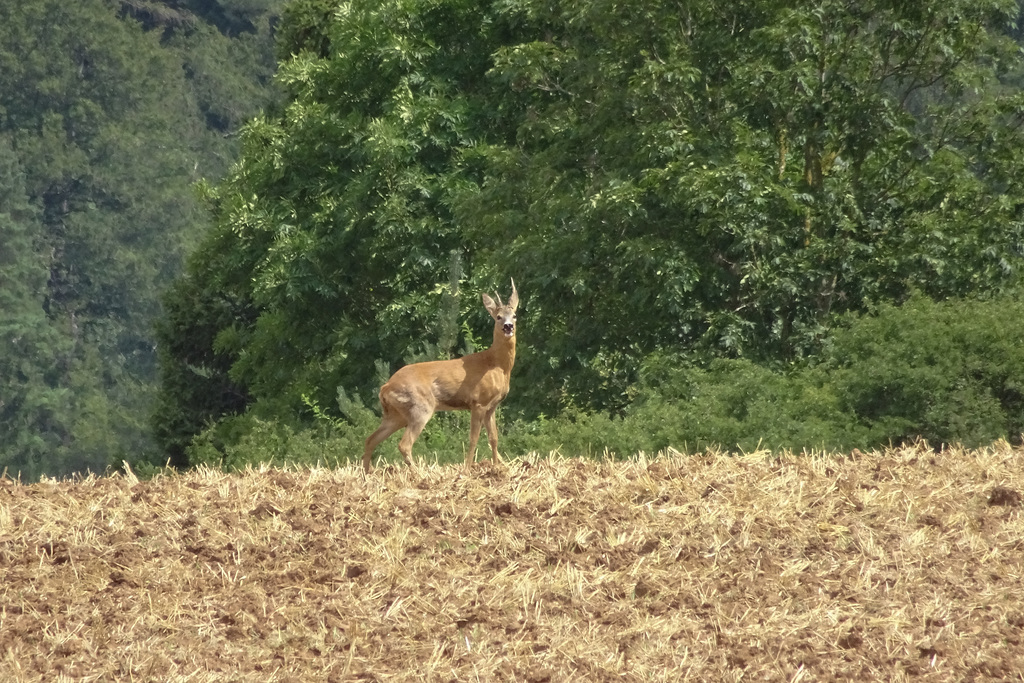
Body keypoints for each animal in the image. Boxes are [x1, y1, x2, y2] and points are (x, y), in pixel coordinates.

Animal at [362, 280, 520, 473]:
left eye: (514, 315)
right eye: (498, 317)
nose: (508, 326)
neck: (496, 364)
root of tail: (385, 387)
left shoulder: (492, 406)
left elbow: (494, 438)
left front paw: (496, 468)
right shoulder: (478, 402)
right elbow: (473, 439)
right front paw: (467, 469)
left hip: (395, 414)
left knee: (370, 439)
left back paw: (367, 474)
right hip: (420, 407)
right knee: (403, 444)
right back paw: (419, 474)